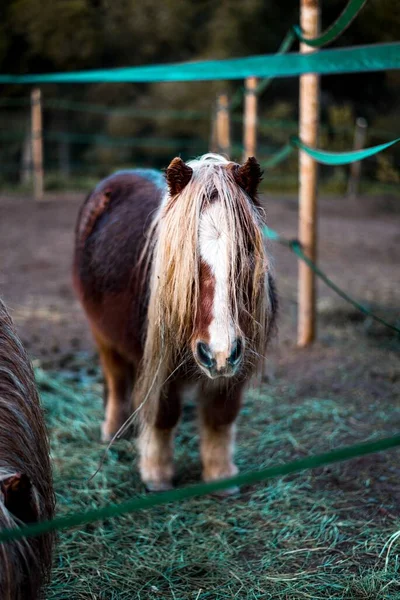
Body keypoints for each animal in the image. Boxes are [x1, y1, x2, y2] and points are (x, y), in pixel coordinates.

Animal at [73, 154, 276, 492]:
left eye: (246, 250)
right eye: (185, 254)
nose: (218, 352)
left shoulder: (236, 367)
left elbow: (221, 416)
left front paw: (221, 476)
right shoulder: (160, 367)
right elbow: (163, 416)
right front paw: (157, 476)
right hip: (102, 334)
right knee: (116, 379)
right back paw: (114, 431)